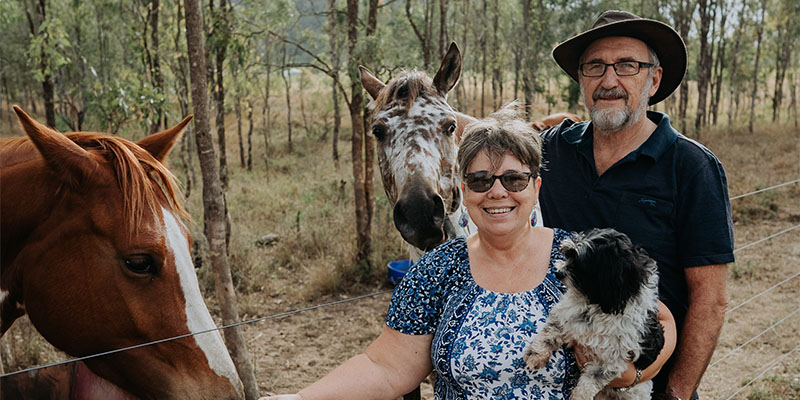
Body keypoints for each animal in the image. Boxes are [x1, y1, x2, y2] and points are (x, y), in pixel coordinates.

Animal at [520, 228, 664, 400]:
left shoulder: (610, 361)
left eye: (581, 266)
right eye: (568, 254)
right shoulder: (565, 316)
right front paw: (536, 354)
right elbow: (549, 334)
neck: (596, 304)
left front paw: (578, 396)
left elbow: (590, 382)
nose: (557, 272)